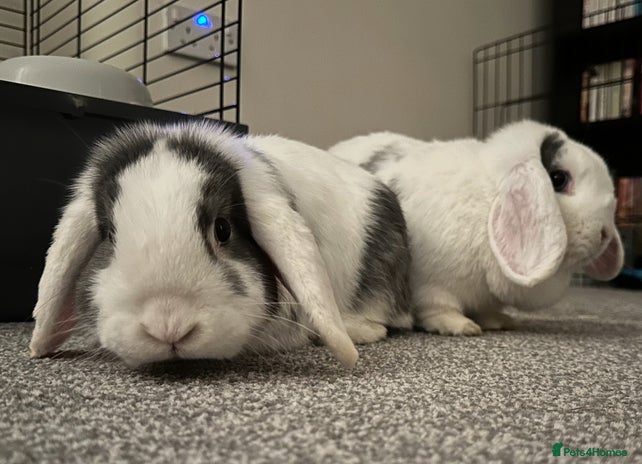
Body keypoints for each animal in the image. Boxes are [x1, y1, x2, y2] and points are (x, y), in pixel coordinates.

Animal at [329, 119, 624, 335]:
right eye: (559, 179)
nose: (604, 234)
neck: (489, 202)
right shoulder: (432, 285)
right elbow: (439, 307)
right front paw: (461, 327)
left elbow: (486, 310)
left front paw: (499, 320)